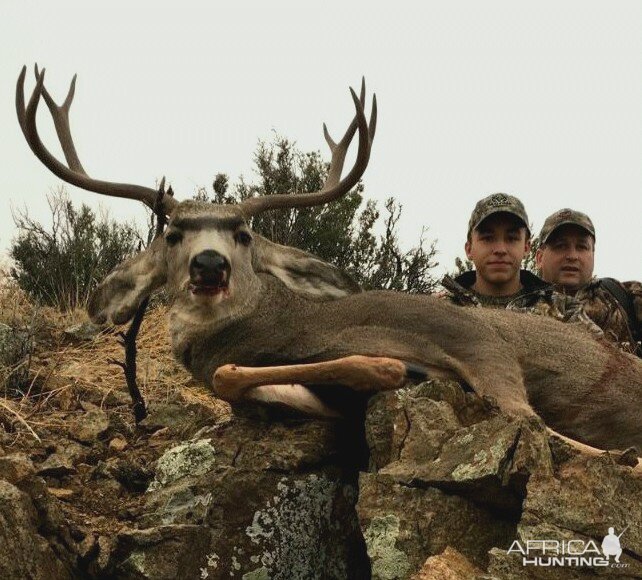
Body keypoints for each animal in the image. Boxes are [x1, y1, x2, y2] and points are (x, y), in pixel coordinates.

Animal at [16, 65, 640, 450]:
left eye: (243, 233)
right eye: (172, 233)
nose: (209, 265)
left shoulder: (460, 332)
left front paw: (387, 365)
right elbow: (234, 378)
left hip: (492, 352)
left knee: (538, 425)